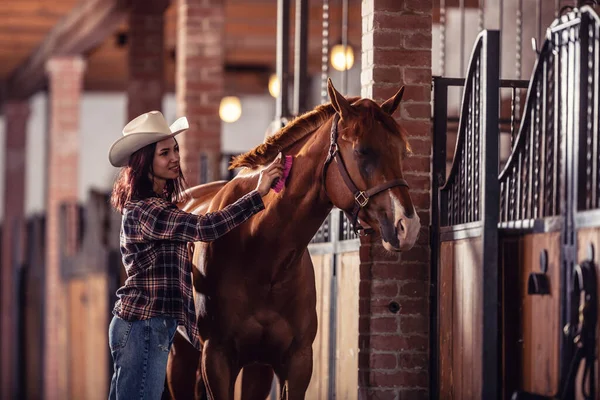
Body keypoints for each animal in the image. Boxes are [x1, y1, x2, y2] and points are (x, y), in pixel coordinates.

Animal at [164, 79, 420, 398]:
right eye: (363, 151)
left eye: (402, 153)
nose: (407, 226)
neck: (261, 252)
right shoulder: (216, 358)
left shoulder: (296, 362)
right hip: (181, 355)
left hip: (255, 367)